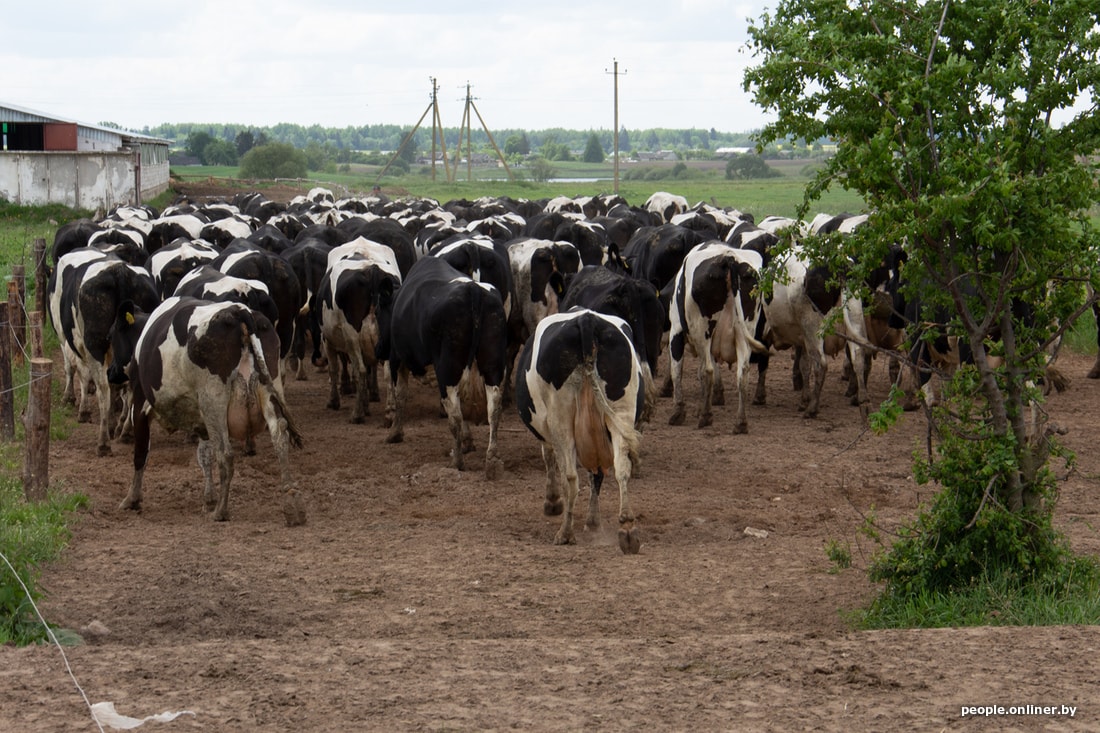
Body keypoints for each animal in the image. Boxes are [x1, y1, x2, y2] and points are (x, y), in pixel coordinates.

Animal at [106, 294, 305, 521]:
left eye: (111, 336)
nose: (110, 373)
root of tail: (240, 312)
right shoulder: (200, 420)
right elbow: (204, 456)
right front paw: (209, 499)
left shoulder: (140, 402)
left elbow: (140, 454)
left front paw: (132, 498)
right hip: (268, 390)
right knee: (280, 436)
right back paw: (291, 496)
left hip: (214, 402)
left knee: (225, 453)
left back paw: (221, 511)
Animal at [385, 254, 508, 477]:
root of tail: (473, 290)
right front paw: (468, 442)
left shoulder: (397, 358)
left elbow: (401, 395)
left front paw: (395, 433)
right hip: (492, 364)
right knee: (493, 408)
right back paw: (492, 459)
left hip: (448, 369)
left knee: (455, 414)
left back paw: (457, 461)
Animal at [514, 305, 642, 550]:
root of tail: (586, 321)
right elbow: (597, 476)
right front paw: (593, 522)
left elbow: (550, 459)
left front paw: (552, 502)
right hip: (621, 411)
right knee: (621, 467)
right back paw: (627, 528)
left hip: (560, 417)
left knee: (571, 478)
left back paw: (565, 533)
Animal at [664, 239, 770, 433]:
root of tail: (729, 258)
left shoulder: (676, 331)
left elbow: (678, 371)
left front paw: (679, 412)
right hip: (745, 331)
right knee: (742, 373)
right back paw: (740, 422)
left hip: (703, 330)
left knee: (707, 370)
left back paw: (706, 417)